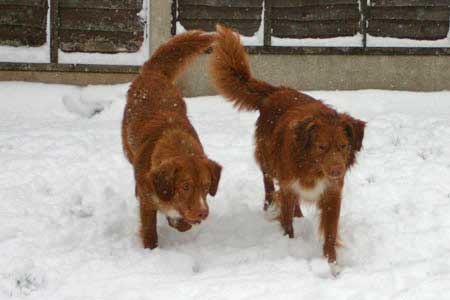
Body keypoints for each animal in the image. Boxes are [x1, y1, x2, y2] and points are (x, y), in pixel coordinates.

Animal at [122, 31, 222, 250]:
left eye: (205, 186)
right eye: (185, 186)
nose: (203, 213)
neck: (178, 145)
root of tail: (153, 73)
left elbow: (182, 221)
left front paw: (178, 221)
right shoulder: (147, 202)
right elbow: (149, 229)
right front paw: (151, 250)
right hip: (127, 148)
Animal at [208, 24, 366, 276]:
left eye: (343, 146)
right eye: (321, 147)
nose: (336, 171)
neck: (313, 168)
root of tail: (276, 91)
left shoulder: (332, 194)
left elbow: (330, 234)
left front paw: (332, 265)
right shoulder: (289, 185)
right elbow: (287, 221)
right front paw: (289, 245)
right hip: (267, 158)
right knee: (267, 182)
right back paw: (268, 204)